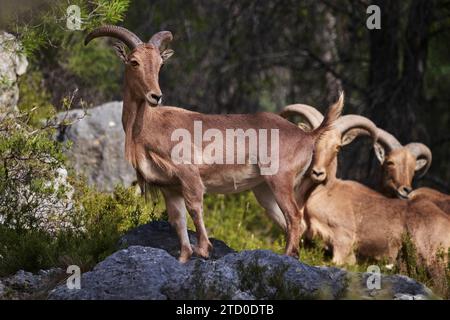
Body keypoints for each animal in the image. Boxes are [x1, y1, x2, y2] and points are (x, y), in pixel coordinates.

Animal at [85, 26, 344, 262]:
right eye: (134, 62)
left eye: (160, 64)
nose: (155, 96)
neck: (147, 126)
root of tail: (308, 136)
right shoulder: (170, 188)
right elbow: (178, 220)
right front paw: (184, 256)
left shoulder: (189, 175)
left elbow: (194, 208)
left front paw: (203, 249)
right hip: (264, 190)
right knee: (289, 221)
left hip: (280, 179)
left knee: (295, 216)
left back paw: (288, 256)